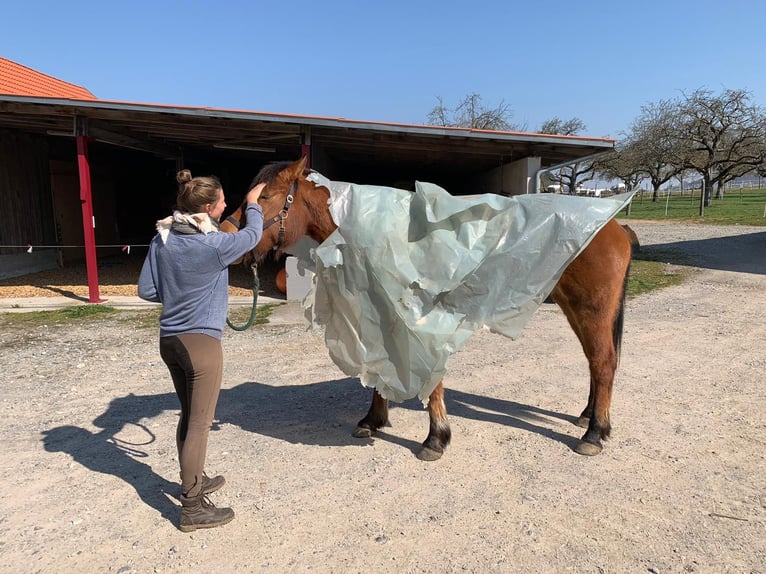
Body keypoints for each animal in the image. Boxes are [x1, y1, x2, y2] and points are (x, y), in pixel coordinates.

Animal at [224, 158, 636, 464]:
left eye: (267, 195)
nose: (228, 235)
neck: (365, 227)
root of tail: (616, 225)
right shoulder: (380, 310)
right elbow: (381, 365)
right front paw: (373, 420)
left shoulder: (420, 320)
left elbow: (429, 376)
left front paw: (435, 438)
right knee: (596, 362)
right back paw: (589, 417)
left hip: (591, 307)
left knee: (603, 361)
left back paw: (593, 434)